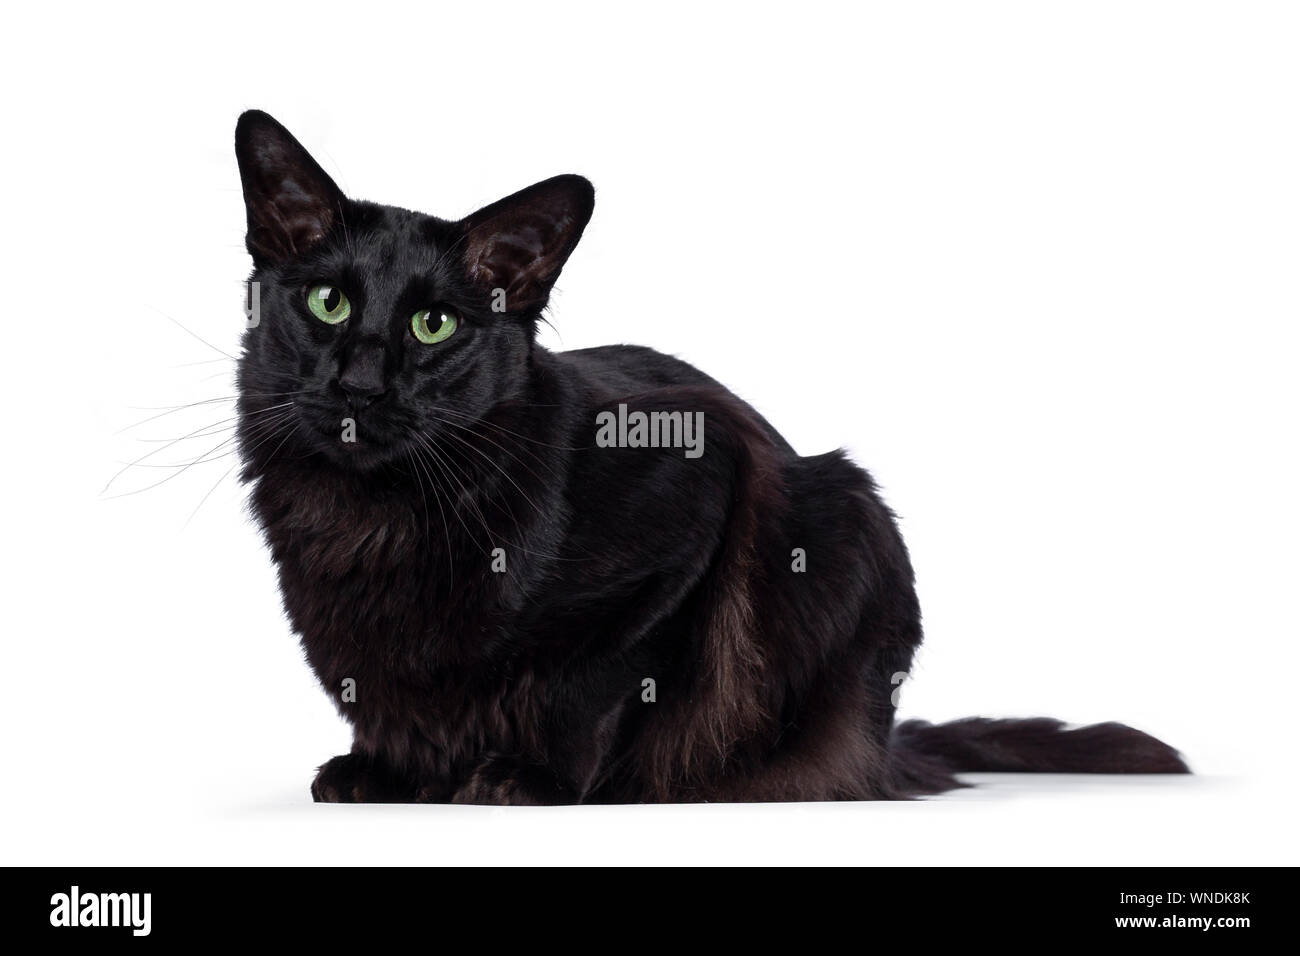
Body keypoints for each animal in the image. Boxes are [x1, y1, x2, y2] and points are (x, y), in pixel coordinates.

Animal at [231, 108, 1190, 806]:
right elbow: (385, 698)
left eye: (433, 326)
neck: (376, 518)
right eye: (326, 303)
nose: (359, 384)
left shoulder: (688, 502)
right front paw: (383, 772)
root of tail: (886, 747)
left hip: (845, 518)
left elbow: (595, 682)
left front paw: (527, 779)